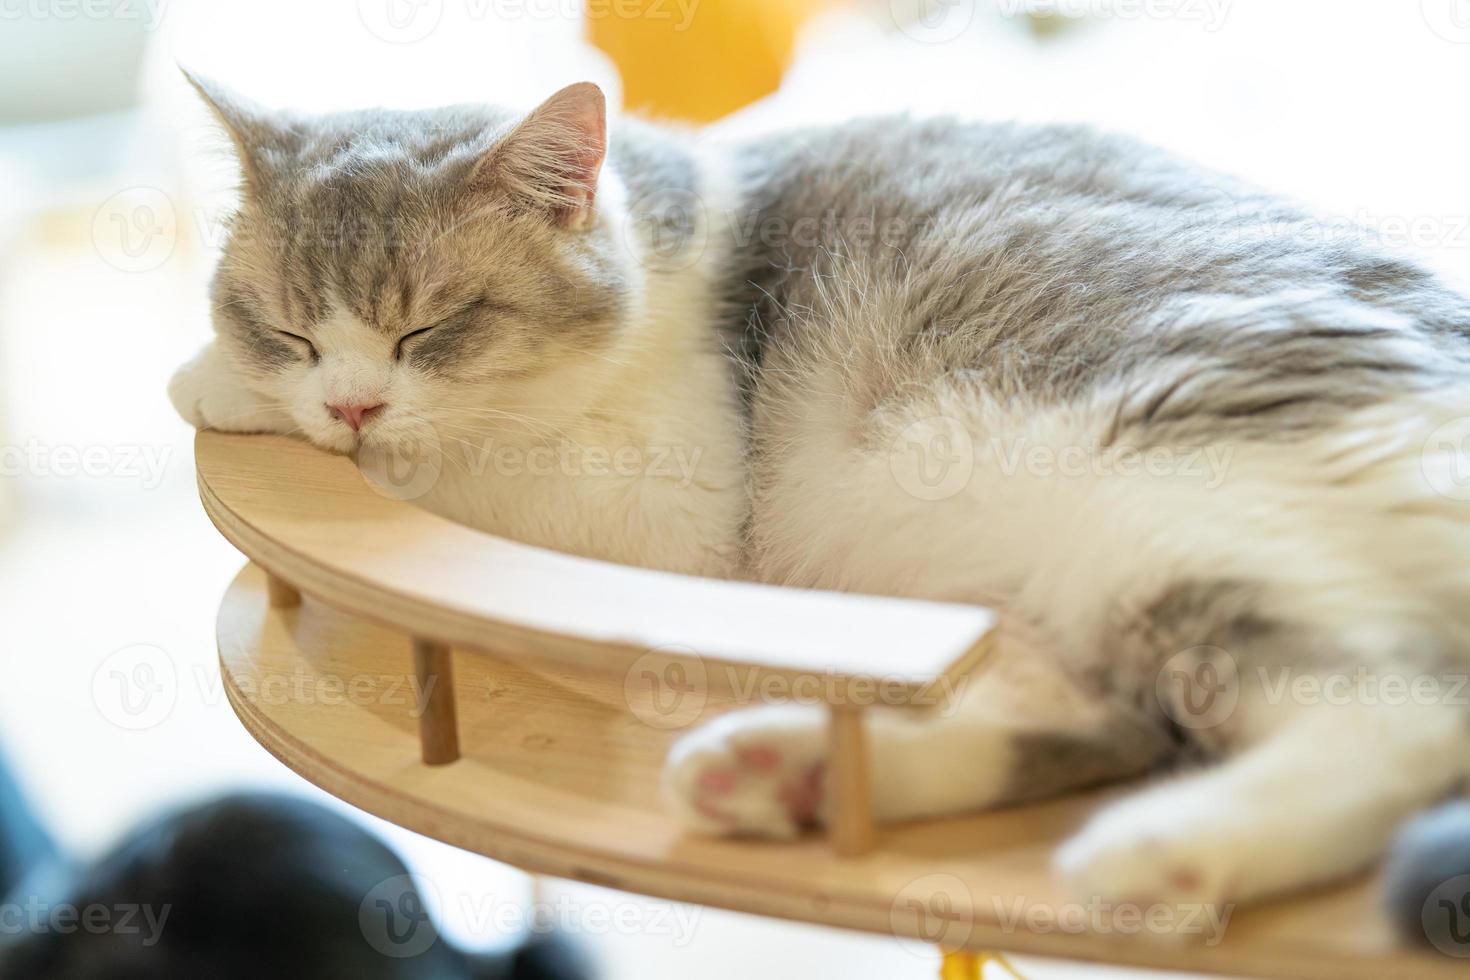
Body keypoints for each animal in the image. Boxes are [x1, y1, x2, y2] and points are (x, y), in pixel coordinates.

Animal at [174, 76, 1470, 934]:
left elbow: (457, 458)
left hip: (1177, 506)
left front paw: (216, 385)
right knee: (1117, 721)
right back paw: (778, 770)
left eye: (430, 327)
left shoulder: (661, 503)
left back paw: (1164, 850)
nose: (346, 404)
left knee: (1398, 715)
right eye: (290, 326)